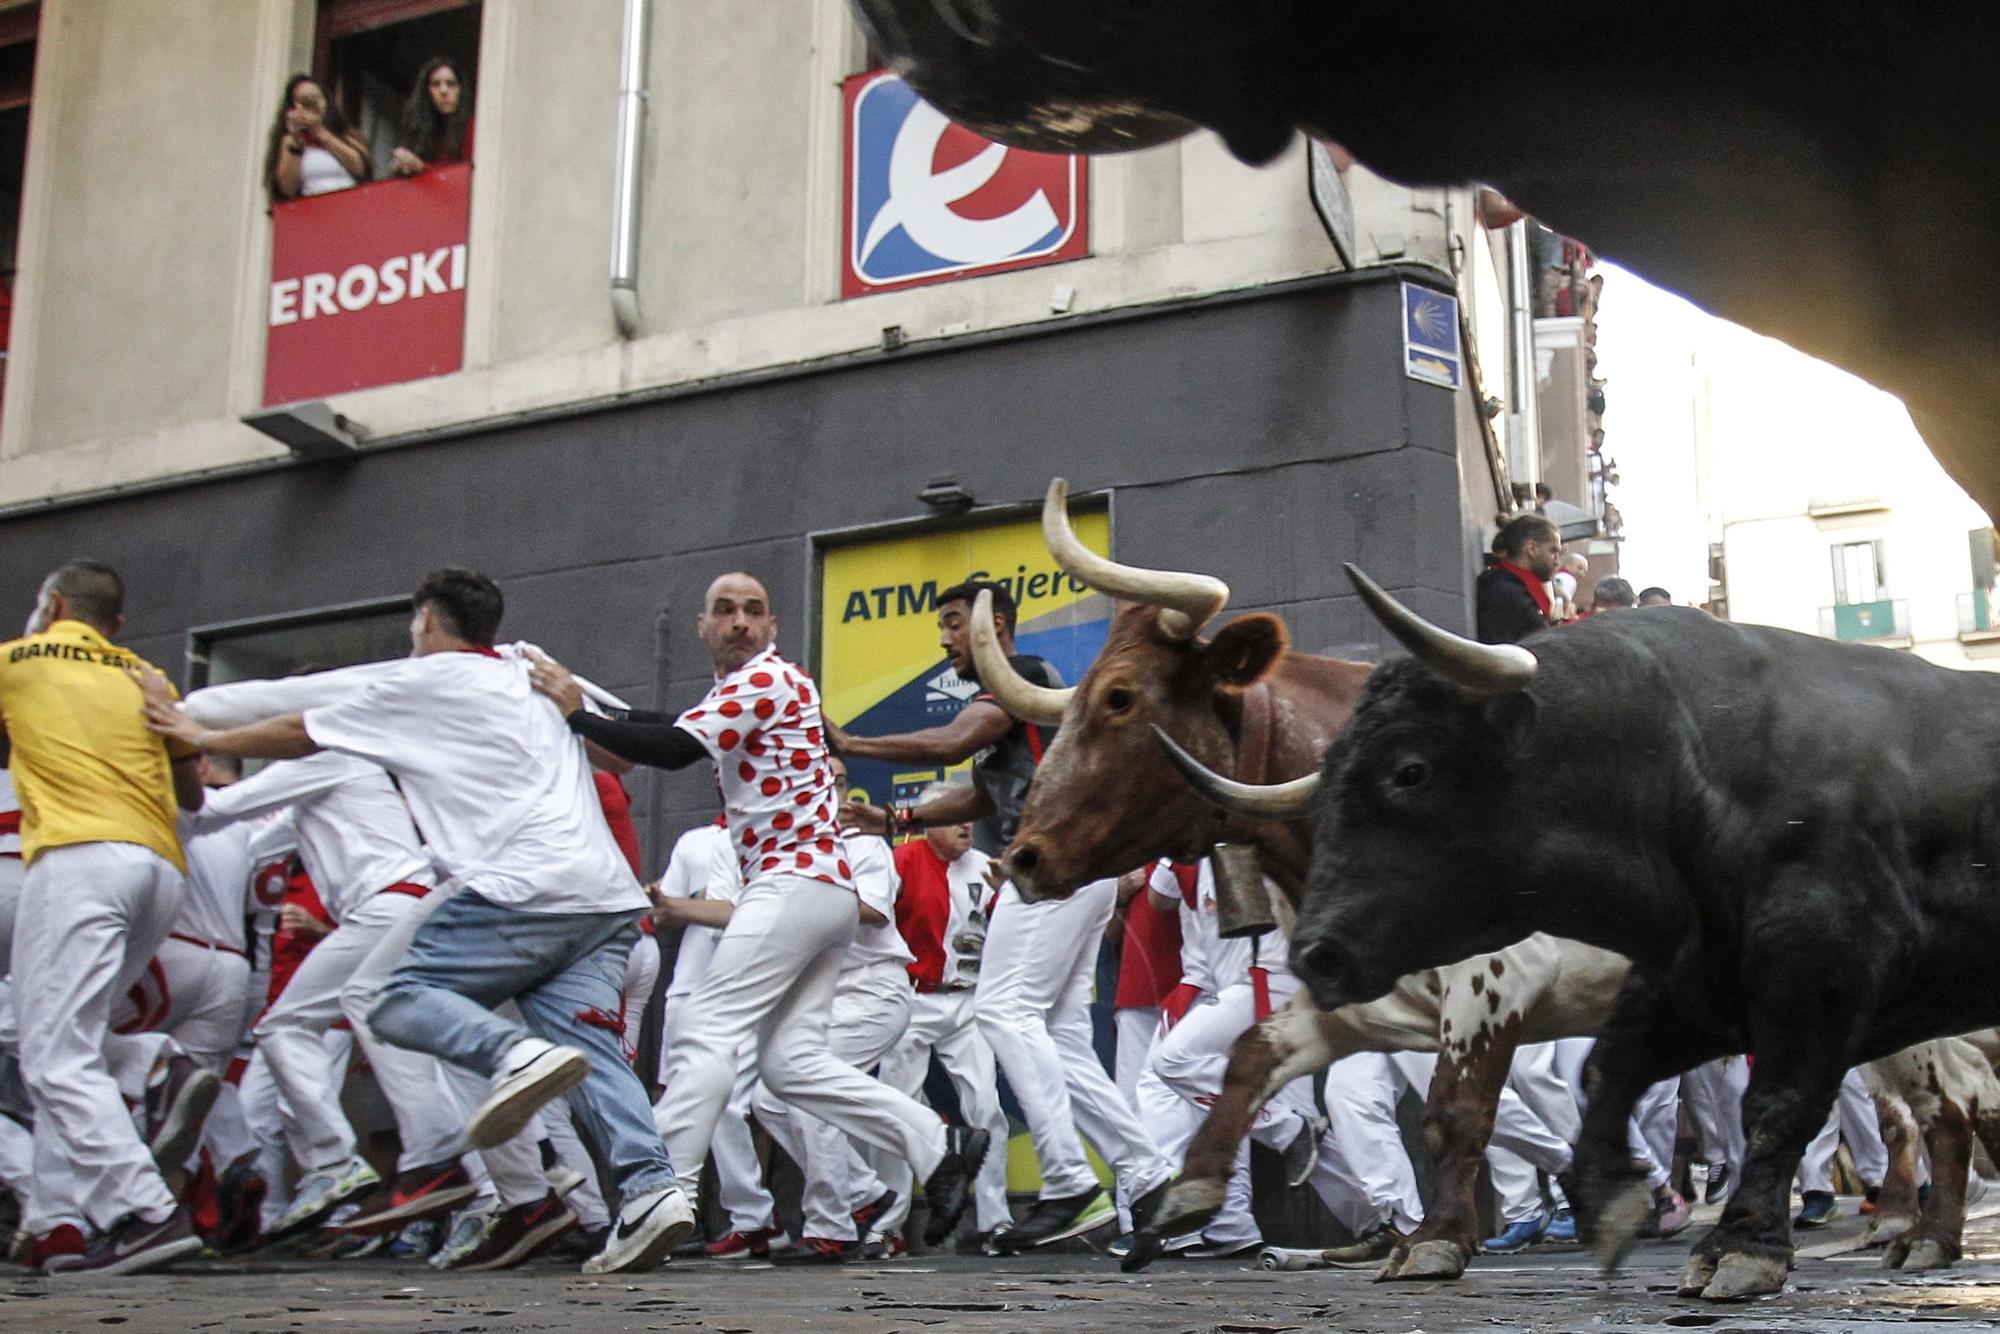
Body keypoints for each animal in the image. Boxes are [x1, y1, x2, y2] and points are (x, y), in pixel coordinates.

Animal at [1184, 568, 2000, 1296]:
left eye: (1409, 771)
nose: (1316, 954)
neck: (1691, 760)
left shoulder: (1815, 973)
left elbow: (1774, 1105)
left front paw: (1739, 1247)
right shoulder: (1687, 980)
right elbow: (1605, 1071)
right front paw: (1613, 1202)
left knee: (1936, 1111)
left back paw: (1913, 1229)